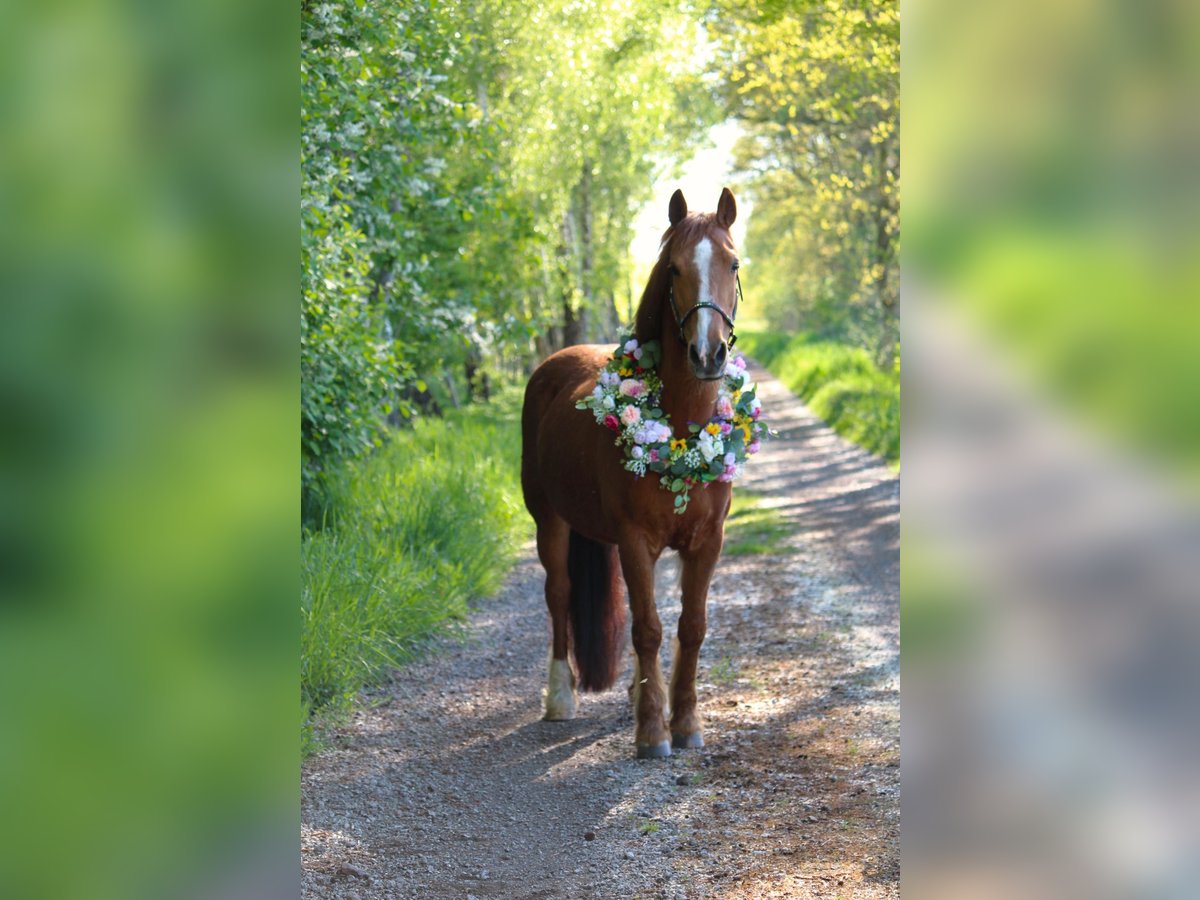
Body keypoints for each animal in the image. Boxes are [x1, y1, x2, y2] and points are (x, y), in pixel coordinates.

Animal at [521, 187, 742, 758]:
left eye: (732, 264)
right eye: (674, 268)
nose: (708, 354)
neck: (682, 424)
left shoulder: (707, 540)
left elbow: (691, 626)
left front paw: (684, 722)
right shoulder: (633, 538)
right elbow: (647, 630)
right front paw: (651, 733)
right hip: (549, 521)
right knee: (559, 593)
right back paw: (560, 697)